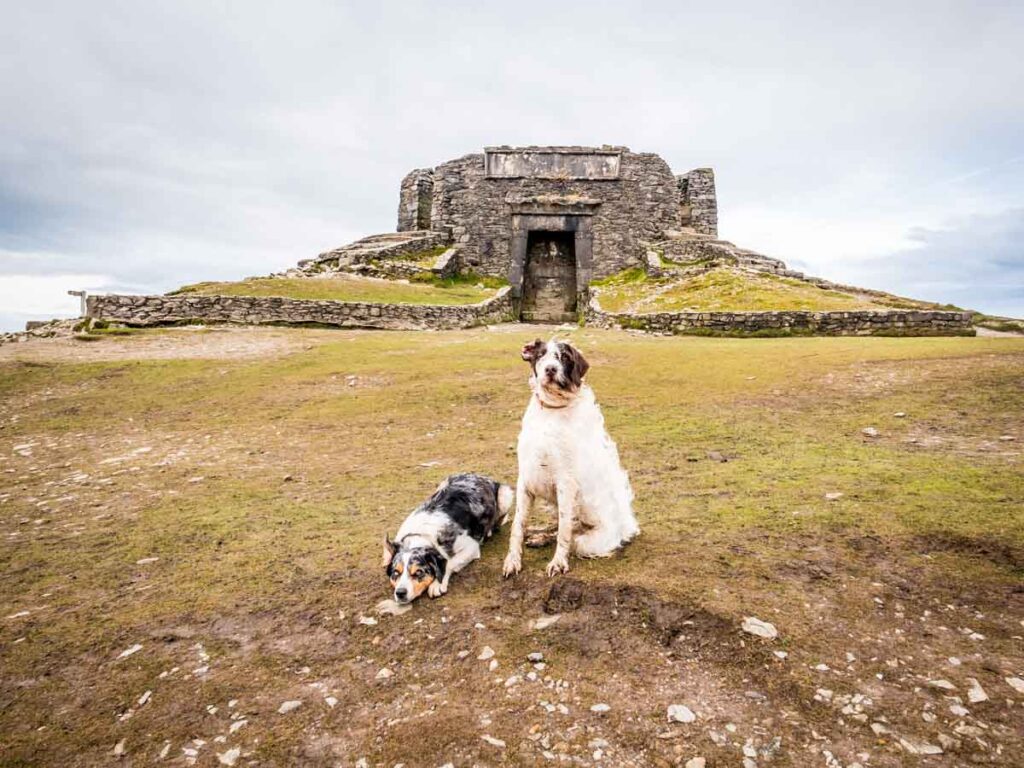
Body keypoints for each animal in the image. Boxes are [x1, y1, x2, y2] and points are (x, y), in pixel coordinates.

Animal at [382, 473, 512, 606]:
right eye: (395, 573)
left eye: (418, 572)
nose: (400, 593)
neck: (420, 535)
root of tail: (479, 475)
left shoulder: (471, 547)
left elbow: (449, 562)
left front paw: (437, 584)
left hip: (505, 495)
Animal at [501, 335, 634, 577]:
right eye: (541, 355)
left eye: (564, 357)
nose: (550, 369)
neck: (551, 411)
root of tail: (628, 527)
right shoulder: (525, 479)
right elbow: (518, 525)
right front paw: (512, 560)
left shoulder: (566, 482)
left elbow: (564, 532)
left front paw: (558, 562)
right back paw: (540, 536)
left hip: (589, 538)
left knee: (573, 535)